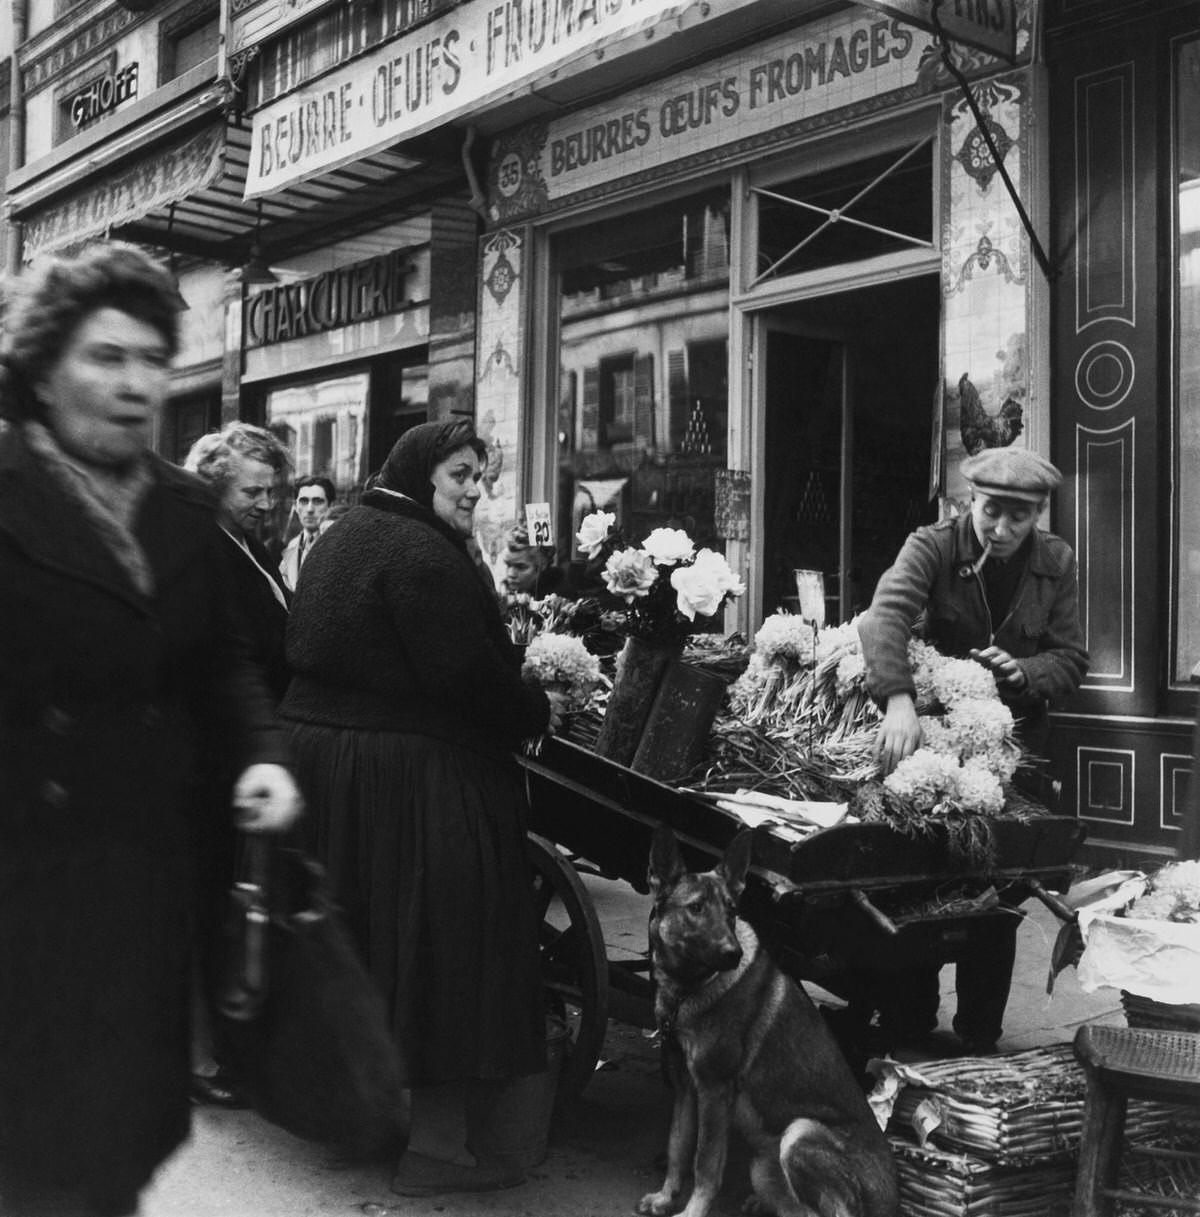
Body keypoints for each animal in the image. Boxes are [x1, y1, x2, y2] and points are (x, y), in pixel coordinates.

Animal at [642, 827, 895, 1217]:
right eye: (696, 908)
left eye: (731, 911)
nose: (733, 954)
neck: (689, 988)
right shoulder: (686, 1089)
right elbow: (677, 1147)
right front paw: (666, 1197)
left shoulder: (714, 1091)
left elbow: (705, 1162)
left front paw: (693, 1210)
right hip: (762, 1166)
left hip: (799, 1132)